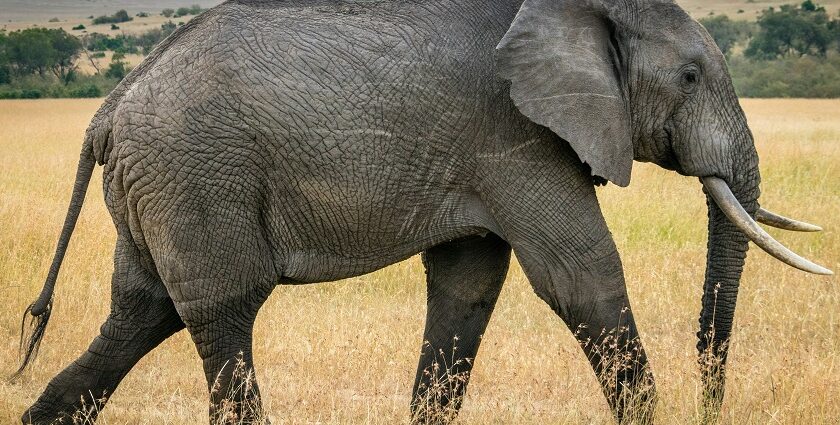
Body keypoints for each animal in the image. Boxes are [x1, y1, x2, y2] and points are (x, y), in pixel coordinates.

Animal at [16, 0, 832, 422]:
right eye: (690, 76)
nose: (712, 405)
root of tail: (110, 107)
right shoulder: (514, 136)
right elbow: (581, 276)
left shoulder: (482, 157)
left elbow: (467, 288)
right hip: (195, 177)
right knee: (220, 311)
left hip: (158, 187)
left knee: (140, 312)